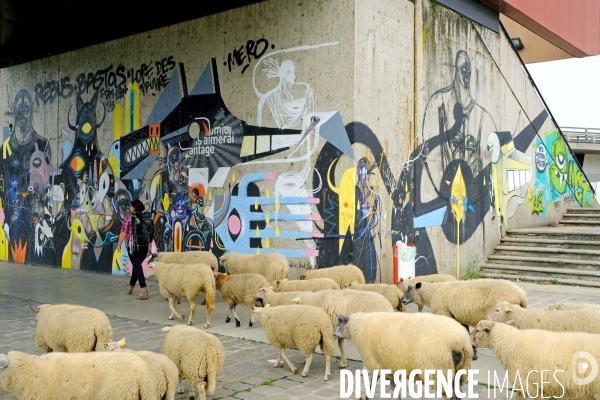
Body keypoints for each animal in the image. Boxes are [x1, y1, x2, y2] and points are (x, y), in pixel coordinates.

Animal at [336, 312, 472, 400]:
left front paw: (364, 397)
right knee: (457, 395)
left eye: (339, 322)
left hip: (439, 370)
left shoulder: (373, 362)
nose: (333, 332)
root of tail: (459, 343)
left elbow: (371, 382)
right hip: (460, 371)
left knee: (449, 396)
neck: (356, 327)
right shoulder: (388, 366)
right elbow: (394, 388)